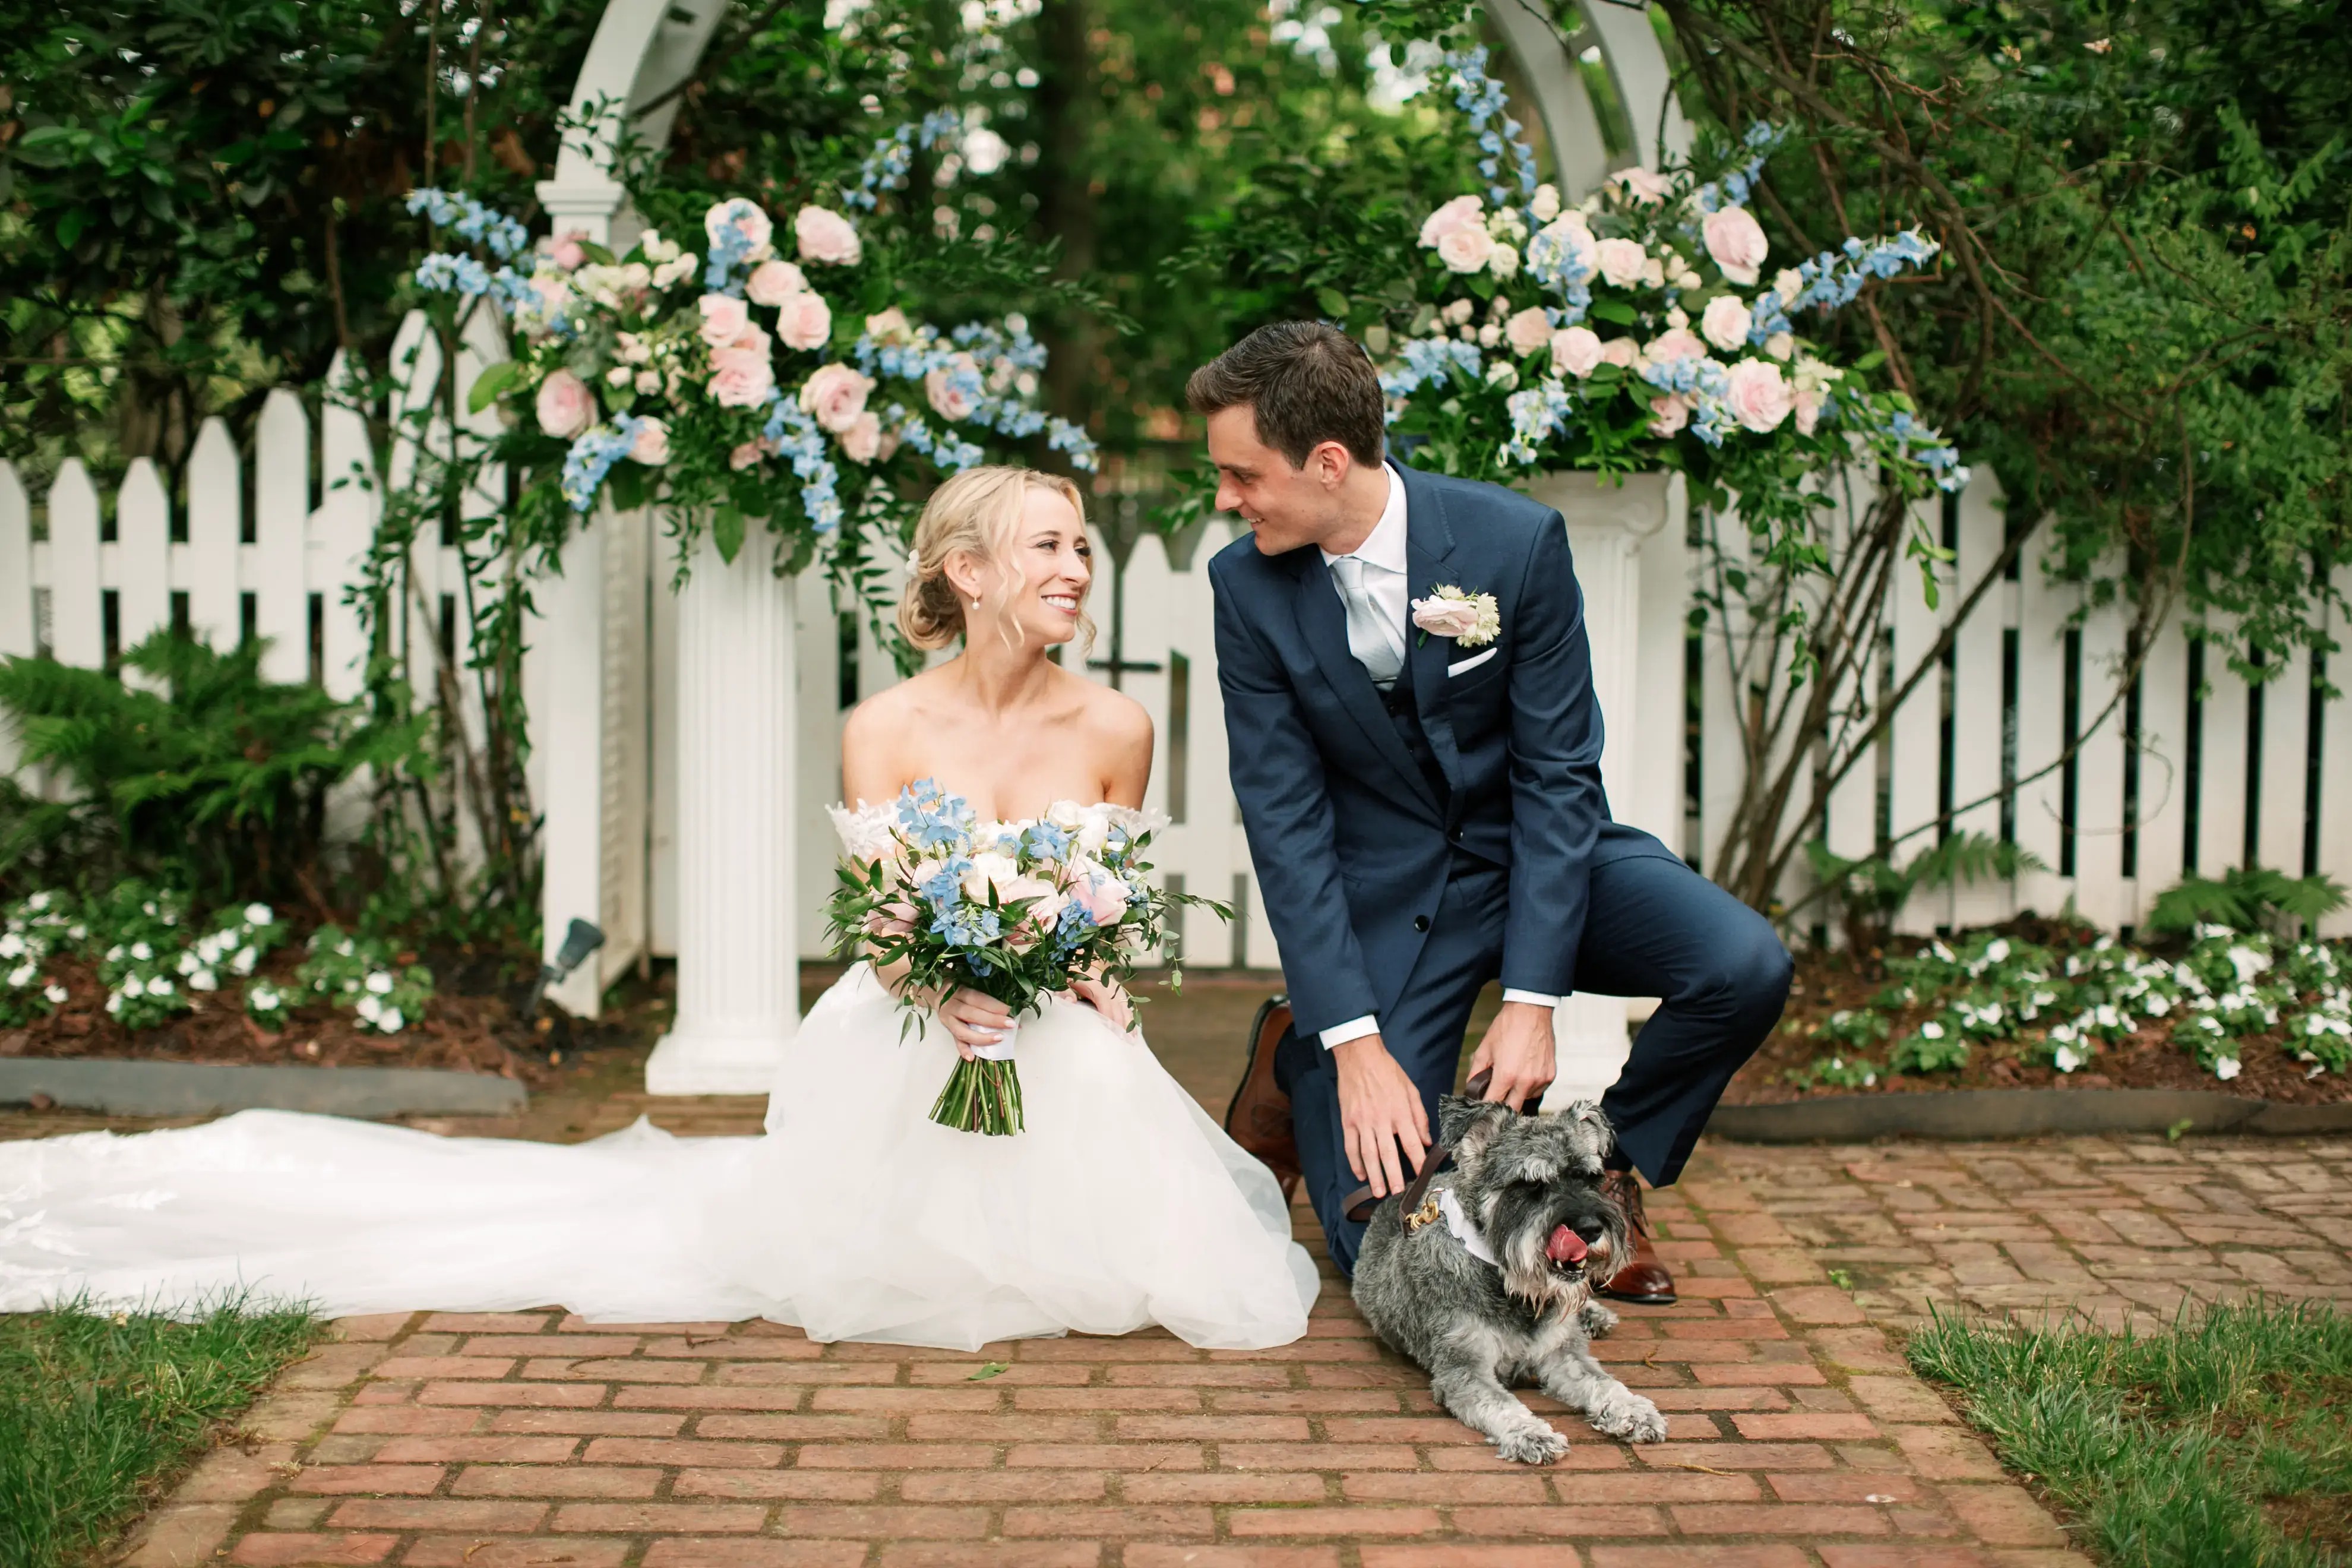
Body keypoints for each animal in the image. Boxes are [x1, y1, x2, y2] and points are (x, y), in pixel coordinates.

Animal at [1345, 1100, 1674, 1466]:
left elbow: (1604, 1382)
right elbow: (1502, 1404)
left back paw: (1594, 1314)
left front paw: (1635, 1410)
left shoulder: (1563, 1353)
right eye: (1531, 1185)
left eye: (1592, 1179)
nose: (1590, 1229)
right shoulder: (1464, 1368)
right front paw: (1532, 1435)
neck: (1511, 1285)